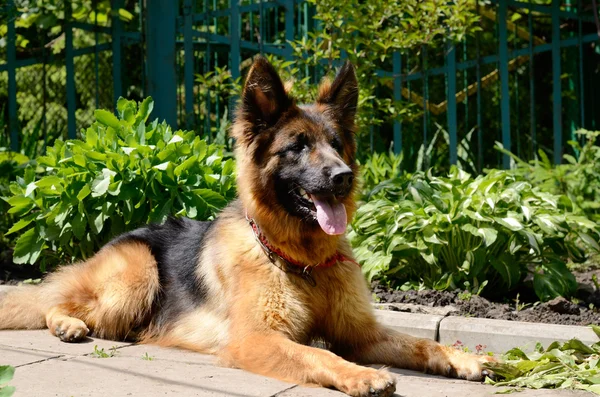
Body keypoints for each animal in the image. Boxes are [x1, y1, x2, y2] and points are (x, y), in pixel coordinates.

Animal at [0, 57, 492, 394]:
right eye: (298, 146)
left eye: (336, 144)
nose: (343, 177)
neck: (300, 260)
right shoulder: (257, 339)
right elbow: (316, 351)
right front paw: (362, 375)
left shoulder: (360, 332)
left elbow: (416, 343)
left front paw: (459, 357)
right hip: (135, 278)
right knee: (54, 302)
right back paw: (66, 324)